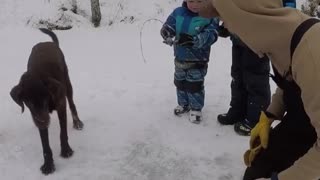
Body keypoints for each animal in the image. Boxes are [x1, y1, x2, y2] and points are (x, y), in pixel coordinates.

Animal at [10, 28, 84, 174]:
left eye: (45, 98)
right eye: (28, 103)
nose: (42, 122)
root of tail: (49, 43)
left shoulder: (61, 104)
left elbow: (63, 132)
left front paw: (66, 150)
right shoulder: (38, 115)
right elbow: (45, 144)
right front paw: (48, 164)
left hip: (67, 83)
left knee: (72, 104)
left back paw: (77, 122)